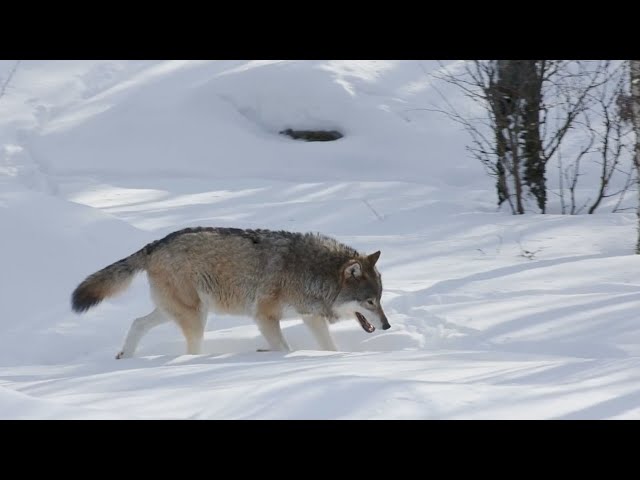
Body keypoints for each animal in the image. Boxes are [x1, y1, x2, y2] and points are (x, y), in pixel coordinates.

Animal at [71, 227, 390, 358]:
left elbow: (329, 348)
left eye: (380, 300)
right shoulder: (263, 316)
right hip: (196, 316)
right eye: (369, 301)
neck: (310, 273)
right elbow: (284, 348)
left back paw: (125, 356)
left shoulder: (310, 317)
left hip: (175, 311)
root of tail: (154, 244)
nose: (387, 326)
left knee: (137, 323)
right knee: (189, 349)